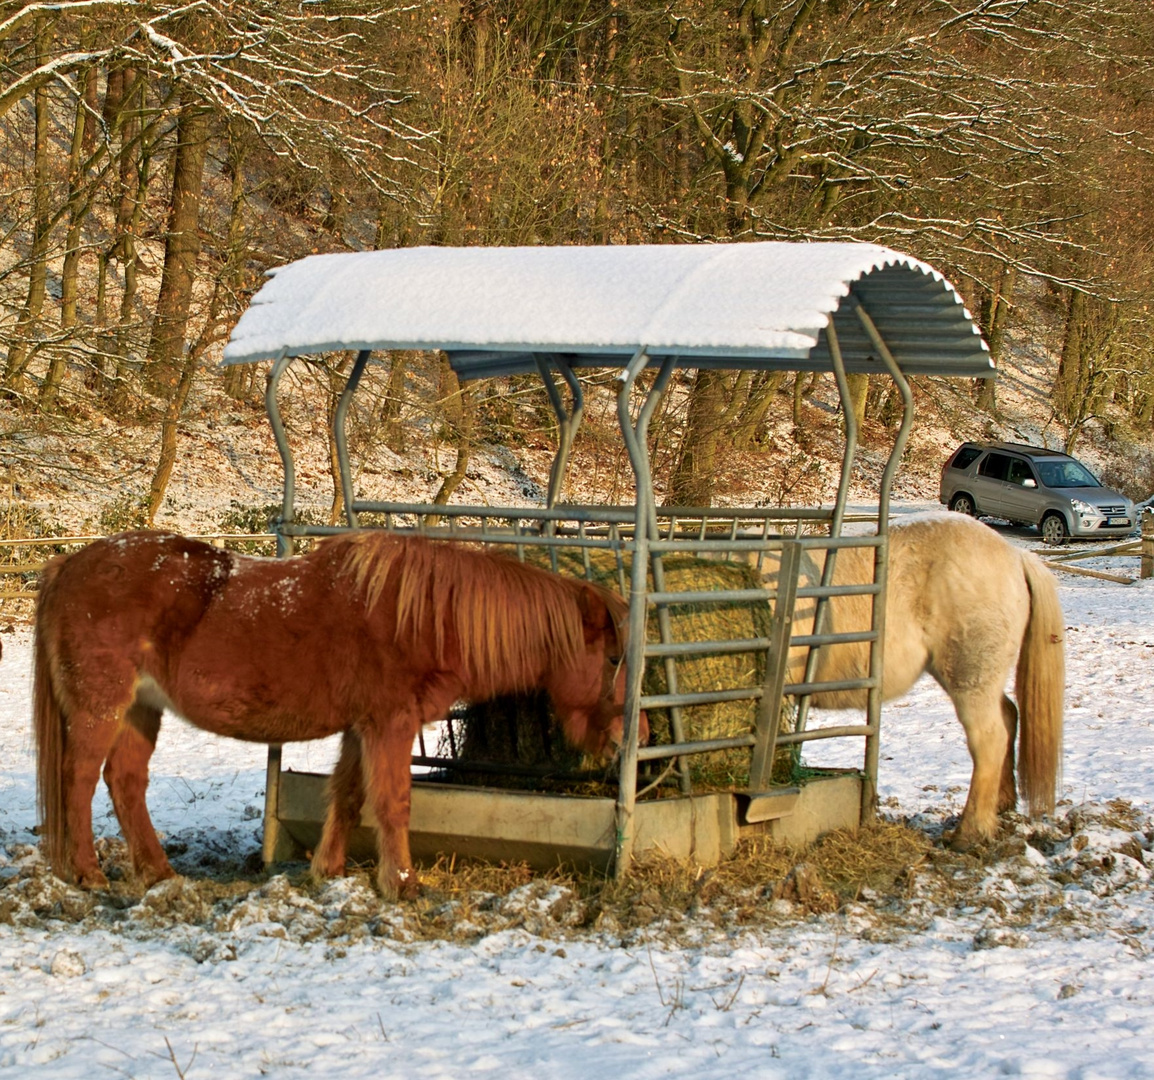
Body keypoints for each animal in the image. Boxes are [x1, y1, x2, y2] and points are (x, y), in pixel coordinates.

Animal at [31, 528, 641, 895]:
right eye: (614, 657)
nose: (629, 735)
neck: (422, 616)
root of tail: (70, 562)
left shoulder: (360, 728)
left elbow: (347, 795)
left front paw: (329, 870)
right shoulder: (390, 725)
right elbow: (392, 803)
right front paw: (402, 884)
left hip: (141, 709)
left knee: (125, 781)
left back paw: (159, 872)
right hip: (101, 707)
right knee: (79, 779)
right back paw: (88, 874)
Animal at [757, 510, 1061, 849]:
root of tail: (1016, 555)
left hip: (970, 678)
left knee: (990, 739)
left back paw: (969, 832)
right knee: (1008, 716)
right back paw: (1001, 804)